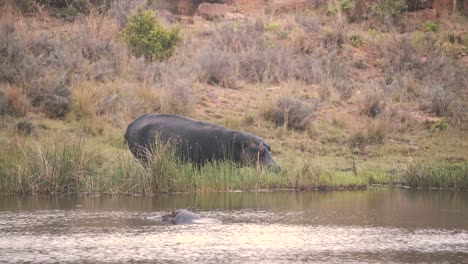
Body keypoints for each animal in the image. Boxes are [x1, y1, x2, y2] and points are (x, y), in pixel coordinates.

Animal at [122, 112, 280, 170]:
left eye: (269, 147)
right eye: (260, 150)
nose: (277, 167)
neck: (240, 144)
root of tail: (131, 124)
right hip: (143, 156)